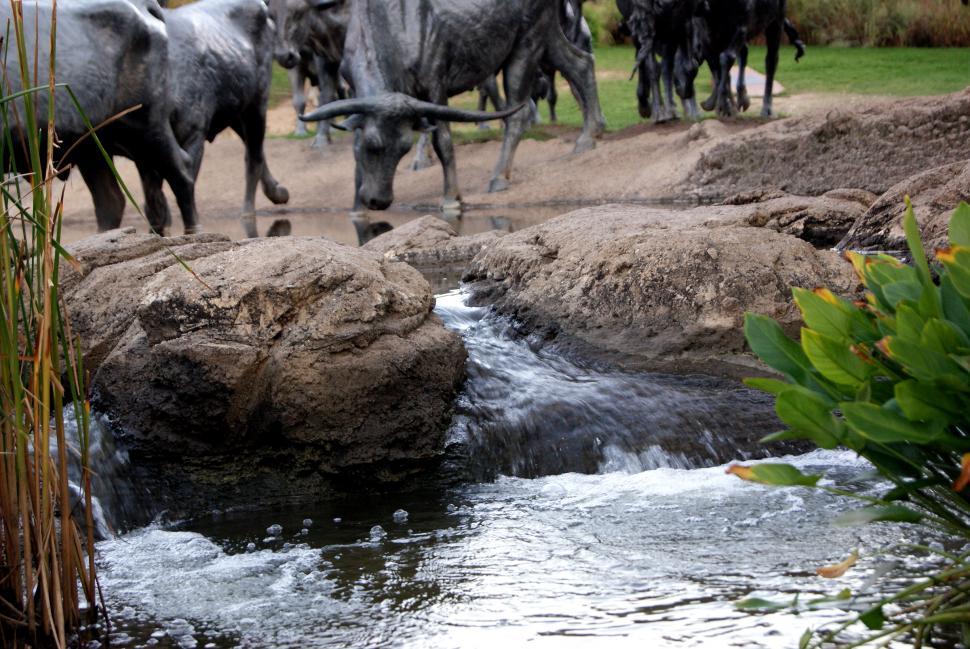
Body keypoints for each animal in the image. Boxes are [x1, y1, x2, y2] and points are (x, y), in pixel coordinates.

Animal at [1, 0, 201, 234]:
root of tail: (142, 5)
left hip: (148, 128)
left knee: (182, 173)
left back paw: (193, 231)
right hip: (94, 146)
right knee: (111, 201)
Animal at [269, 0, 350, 148]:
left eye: (298, 12)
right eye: (270, 16)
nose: (281, 54)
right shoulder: (296, 67)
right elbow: (300, 100)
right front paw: (301, 131)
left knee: (342, 89)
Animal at [301, 0, 606, 217]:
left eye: (404, 148)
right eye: (373, 145)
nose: (378, 200)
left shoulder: (436, 83)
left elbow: (443, 141)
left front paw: (451, 197)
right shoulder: (352, 85)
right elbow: (353, 141)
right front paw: (356, 206)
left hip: (527, 44)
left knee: (519, 113)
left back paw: (499, 177)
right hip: (548, 35)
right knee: (581, 62)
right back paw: (587, 137)